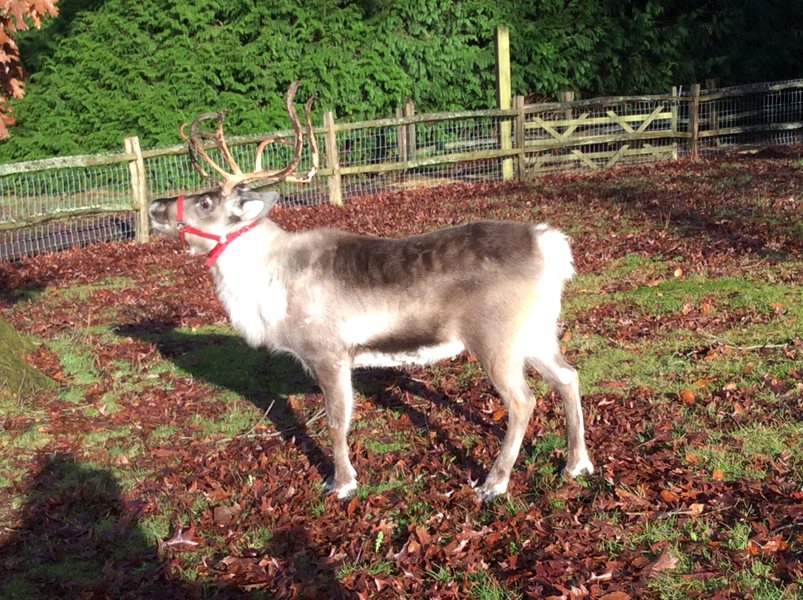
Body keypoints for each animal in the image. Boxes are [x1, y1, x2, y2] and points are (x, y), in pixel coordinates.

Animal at [148, 81, 594, 501]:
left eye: (206, 202)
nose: (154, 206)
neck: (265, 277)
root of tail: (548, 244)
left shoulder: (328, 354)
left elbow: (336, 421)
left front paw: (342, 482)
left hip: (496, 341)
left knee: (523, 401)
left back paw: (494, 483)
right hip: (537, 333)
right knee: (568, 377)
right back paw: (577, 464)